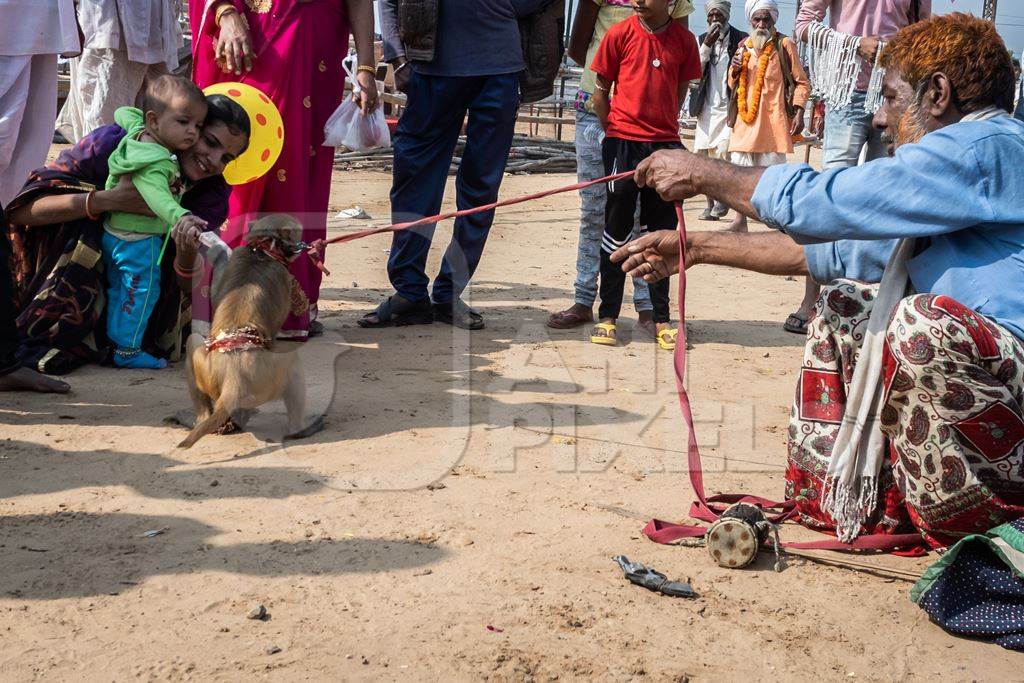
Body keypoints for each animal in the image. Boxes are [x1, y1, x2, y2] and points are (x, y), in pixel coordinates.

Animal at [179, 214, 323, 448]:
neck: (262, 249)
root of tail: (233, 380)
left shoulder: (237, 257)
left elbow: (215, 293)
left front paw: (215, 251)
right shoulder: (283, 275)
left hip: (210, 373)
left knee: (193, 341)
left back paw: (204, 418)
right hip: (268, 378)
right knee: (292, 361)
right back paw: (300, 428)